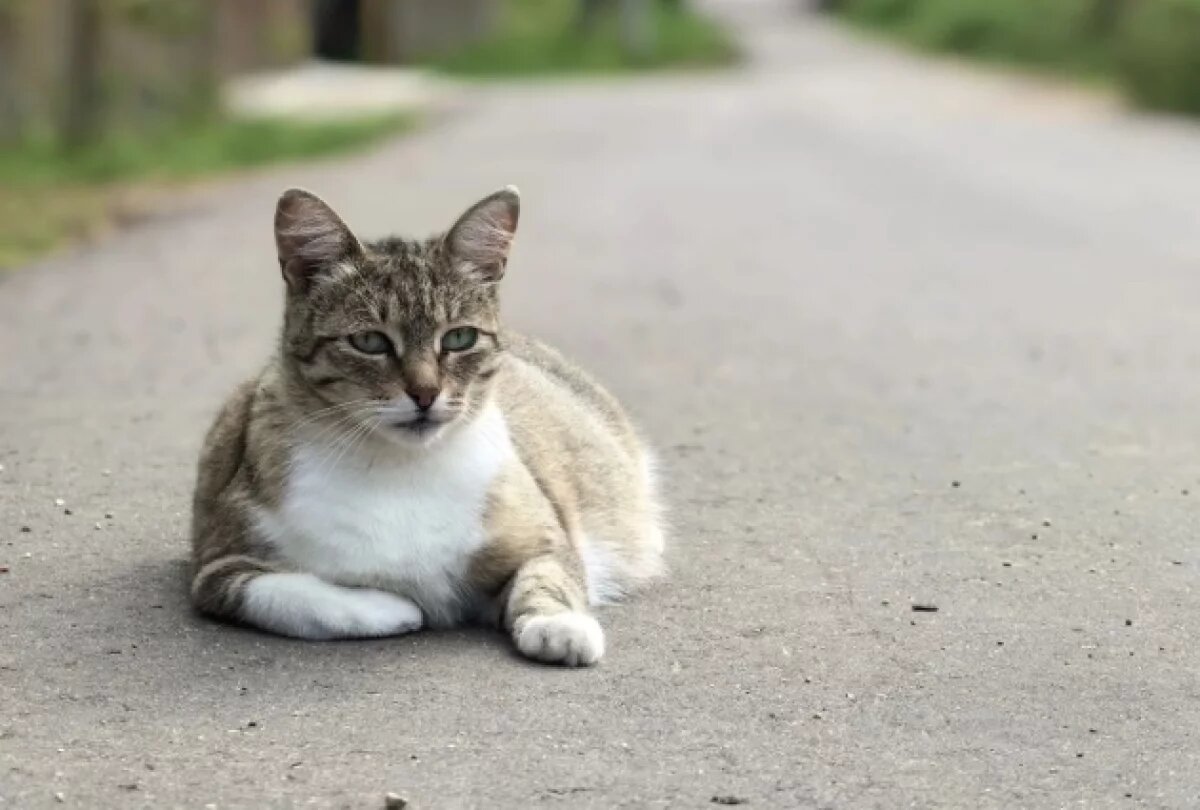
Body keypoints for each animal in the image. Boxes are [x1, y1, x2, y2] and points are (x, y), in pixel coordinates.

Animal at [192, 188, 672, 667]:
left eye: (459, 338)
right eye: (369, 341)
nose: (425, 394)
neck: (400, 466)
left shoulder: (546, 538)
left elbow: (548, 575)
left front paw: (558, 624)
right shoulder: (217, 568)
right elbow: (292, 595)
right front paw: (389, 606)